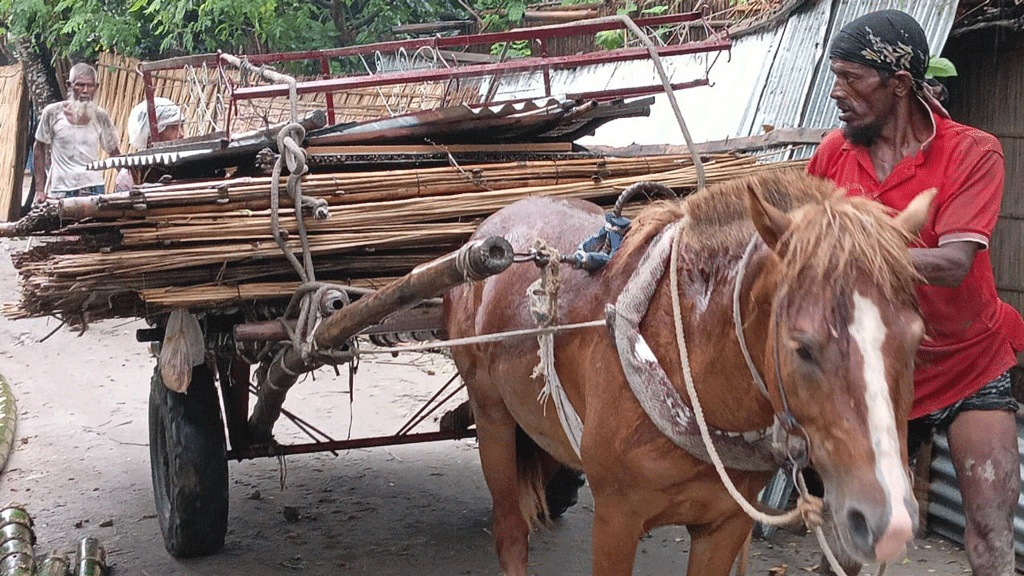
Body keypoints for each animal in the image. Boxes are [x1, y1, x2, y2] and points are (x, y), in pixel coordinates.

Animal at [444, 170, 933, 573]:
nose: (891, 524)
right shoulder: (616, 517)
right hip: (492, 415)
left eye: (917, 337)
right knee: (511, 532)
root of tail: (495, 222)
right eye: (803, 348)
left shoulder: (726, 524)